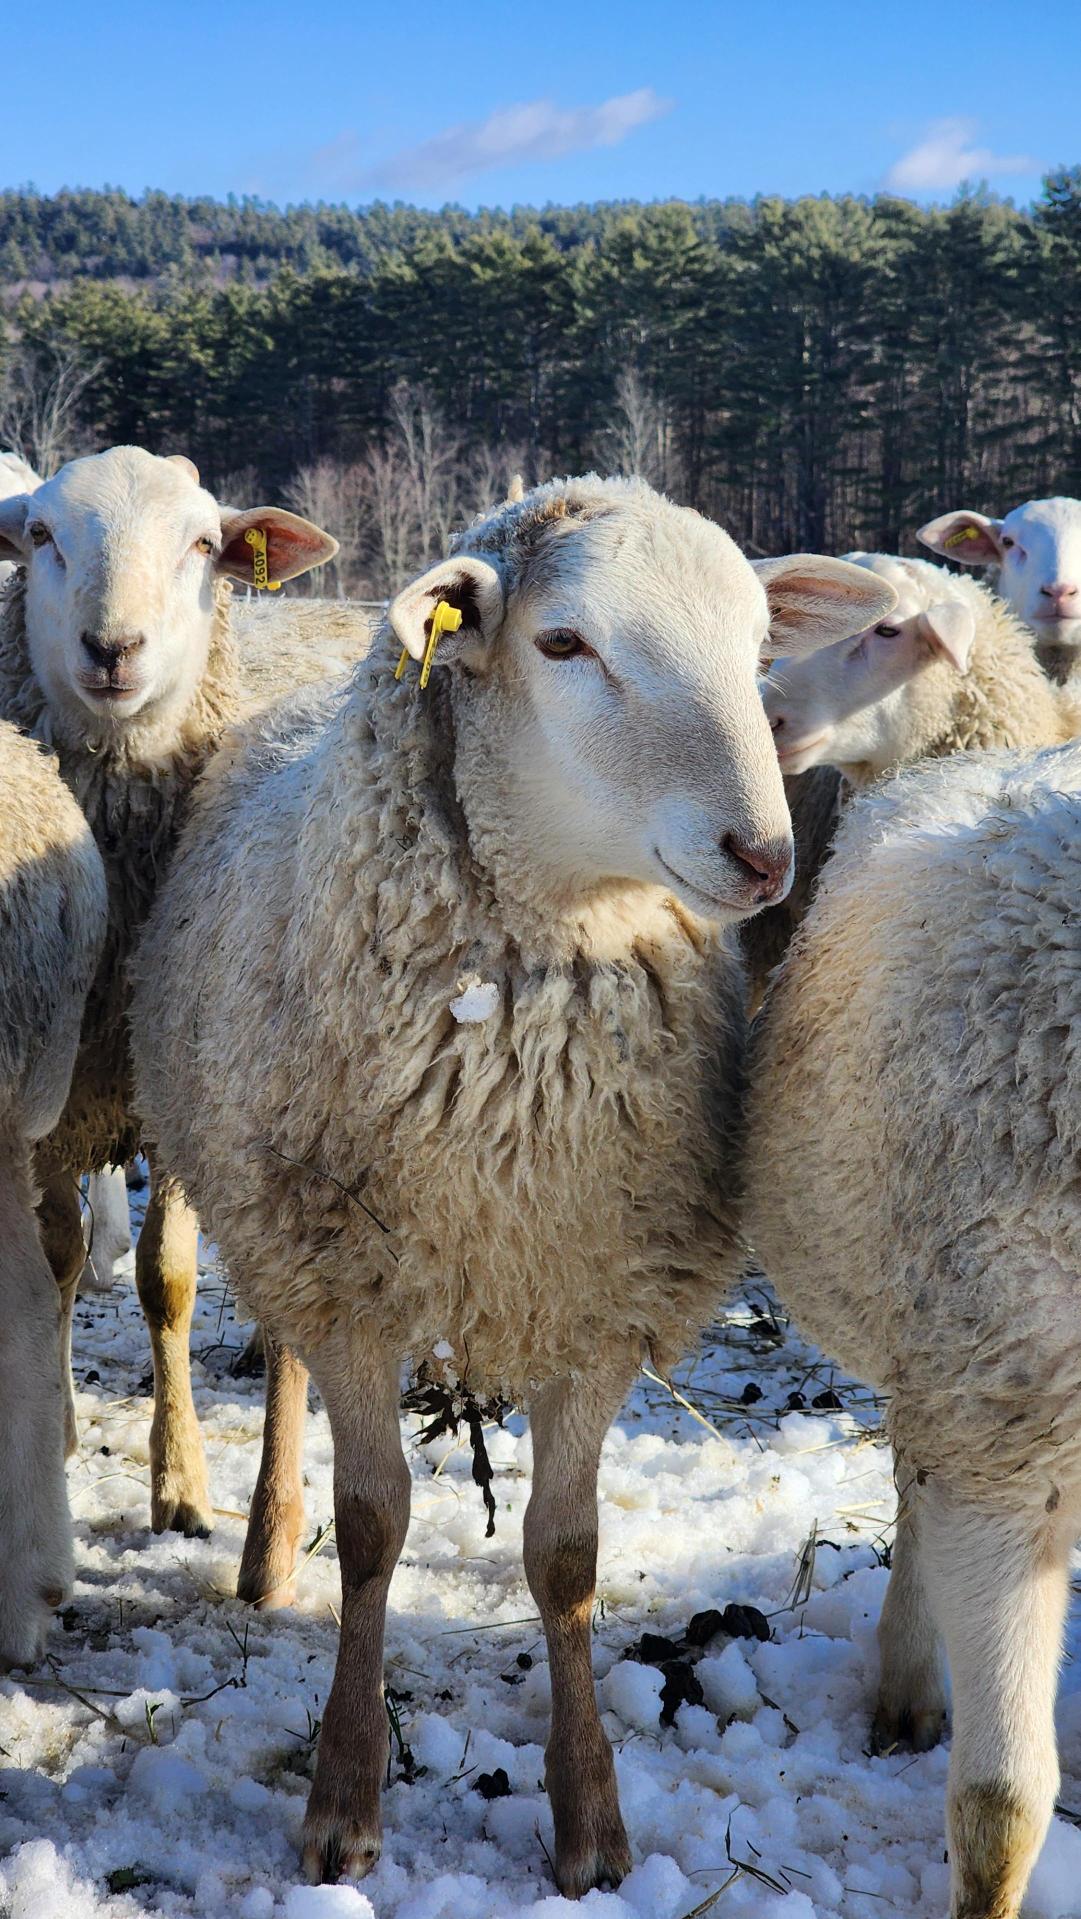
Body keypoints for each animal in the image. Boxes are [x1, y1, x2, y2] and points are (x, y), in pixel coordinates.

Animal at [0, 444, 344, 1538]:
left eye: (201, 543)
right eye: (42, 535)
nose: (113, 646)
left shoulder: (174, 1075)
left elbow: (168, 1278)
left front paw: (182, 1481)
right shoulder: (57, 1085)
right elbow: (58, 1258)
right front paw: (59, 1430)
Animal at [130, 473, 896, 1891]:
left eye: (758, 642)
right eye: (563, 644)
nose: (762, 855)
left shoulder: (598, 1289)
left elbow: (565, 1555)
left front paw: (590, 1821)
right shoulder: (350, 1280)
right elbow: (373, 1526)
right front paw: (343, 1798)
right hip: (286, 1219)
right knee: (285, 1370)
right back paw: (266, 1544)